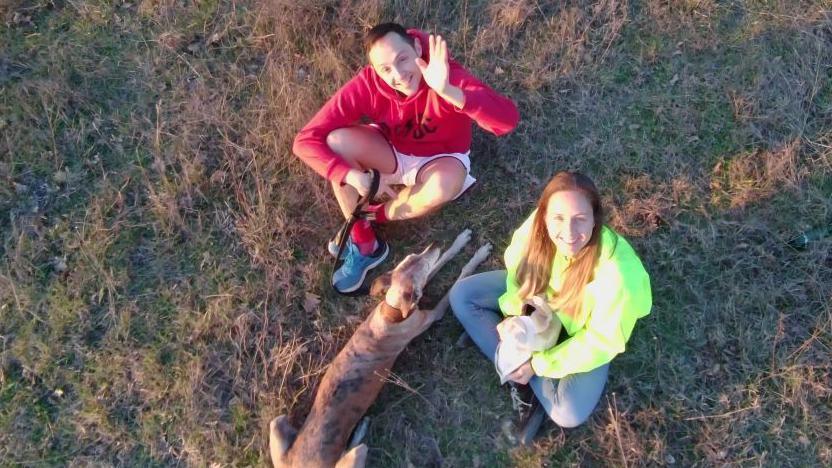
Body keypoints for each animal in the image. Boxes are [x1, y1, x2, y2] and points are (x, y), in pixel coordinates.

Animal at [270, 230, 490, 468]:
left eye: (414, 257)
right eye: (419, 264)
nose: (433, 244)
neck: (392, 311)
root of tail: (294, 462)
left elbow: (443, 260)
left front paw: (460, 241)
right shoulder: (430, 315)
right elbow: (457, 280)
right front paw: (477, 256)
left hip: (277, 423)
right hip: (354, 455)